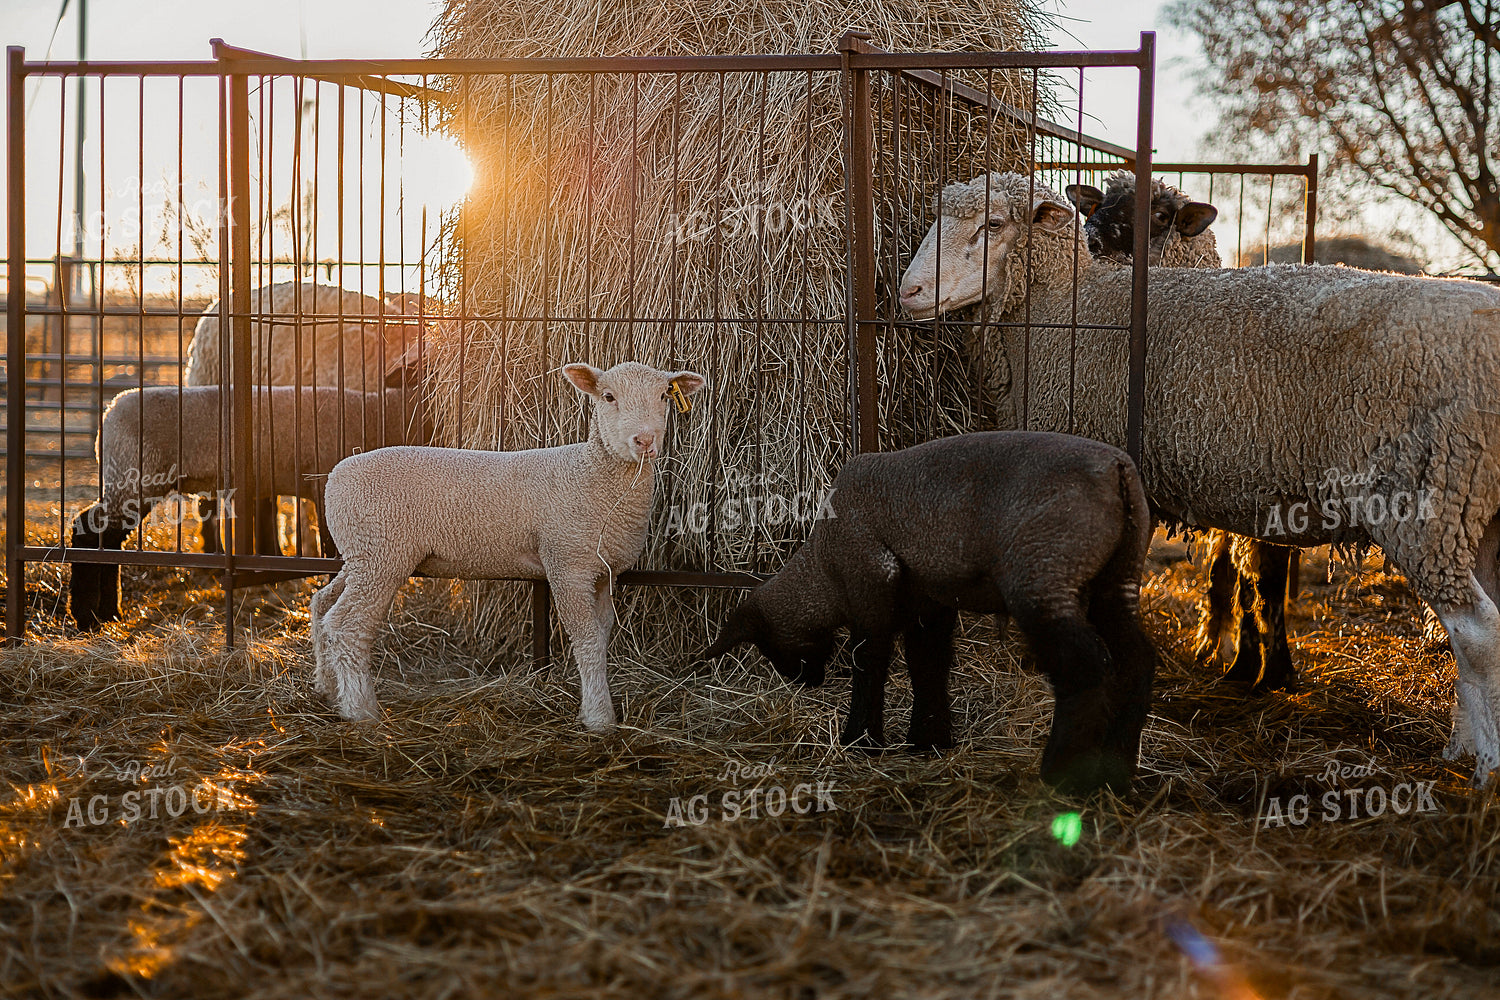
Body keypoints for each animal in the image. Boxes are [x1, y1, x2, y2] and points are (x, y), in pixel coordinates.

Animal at [67, 379, 431, 631]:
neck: (378, 411)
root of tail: (110, 411)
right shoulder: (323, 484)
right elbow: (332, 552)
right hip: (134, 475)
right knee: (89, 529)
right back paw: (87, 616)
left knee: (107, 540)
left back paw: (108, 613)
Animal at [309, 360, 706, 724]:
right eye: (608, 397)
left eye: (664, 396)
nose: (645, 441)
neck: (589, 472)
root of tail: (336, 476)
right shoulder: (567, 563)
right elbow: (587, 639)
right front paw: (599, 717)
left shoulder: (603, 573)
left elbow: (603, 632)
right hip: (382, 554)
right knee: (347, 625)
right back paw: (361, 710)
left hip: (361, 554)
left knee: (323, 605)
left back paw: (328, 688)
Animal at [698, 430, 1157, 794]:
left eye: (766, 645)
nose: (804, 682)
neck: (824, 571)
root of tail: (1118, 471)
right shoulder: (928, 599)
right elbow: (927, 664)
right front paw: (928, 740)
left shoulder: (870, 576)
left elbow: (870, 660)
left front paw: (860, 740)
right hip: (1117, 574)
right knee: (1136, 660)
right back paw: (1117, 773)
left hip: (1044, 568)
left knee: (1086, 665)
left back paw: (1063, 775)